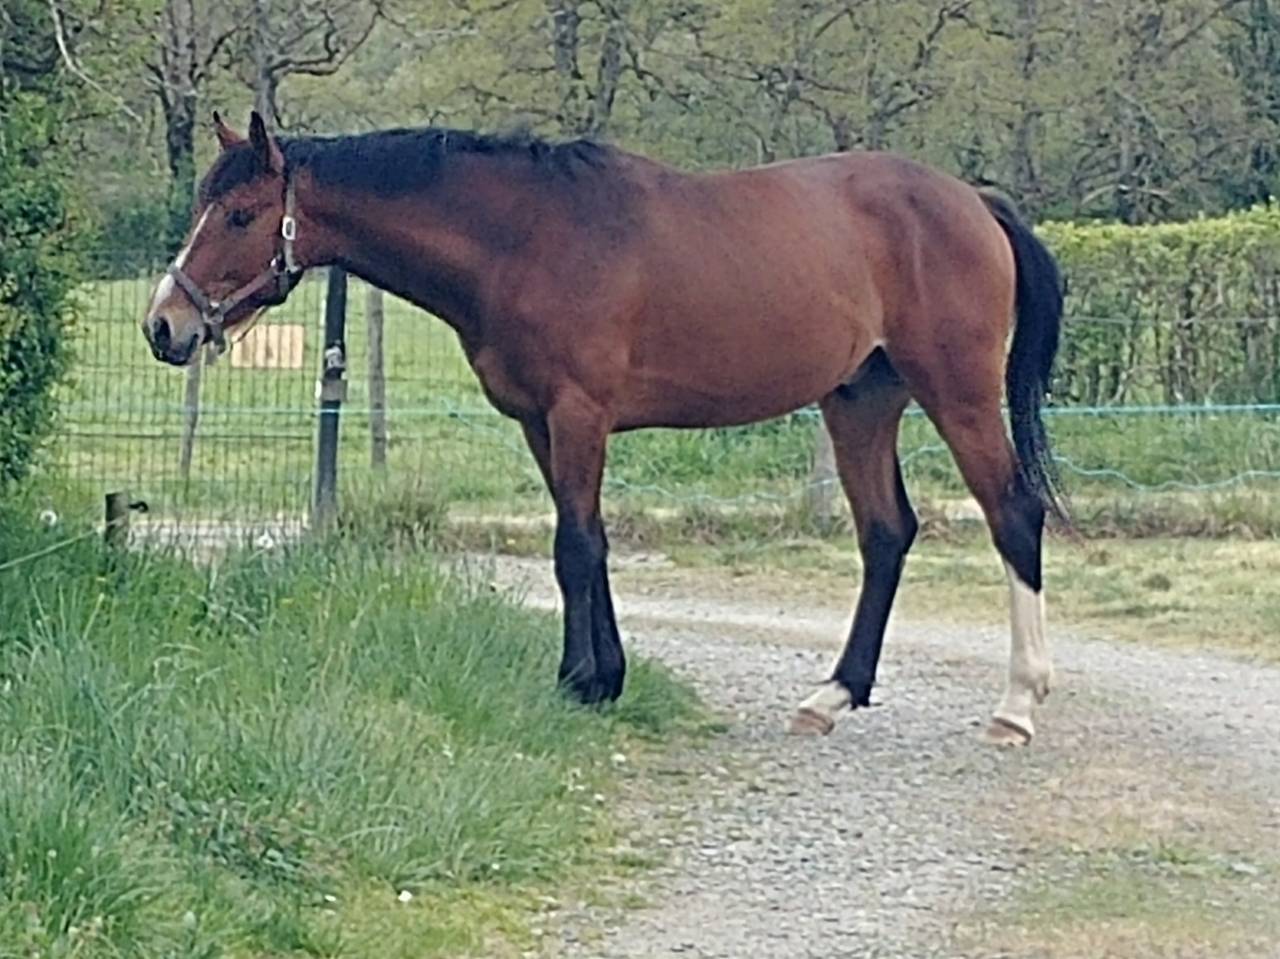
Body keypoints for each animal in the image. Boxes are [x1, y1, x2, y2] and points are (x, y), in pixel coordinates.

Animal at [143, 110, 1066, 746]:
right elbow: (584, 540)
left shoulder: (579, 413)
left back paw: (1017, 705)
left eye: (238, 215)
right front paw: (597, 675)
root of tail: (973, 202)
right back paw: (831, 696)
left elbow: (576, 545)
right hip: (860, 402)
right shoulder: (540, 423)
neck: (523, 238)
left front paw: (583, 681)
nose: (163, 326)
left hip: (956, 393)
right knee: (885, 533)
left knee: (1012, 514)